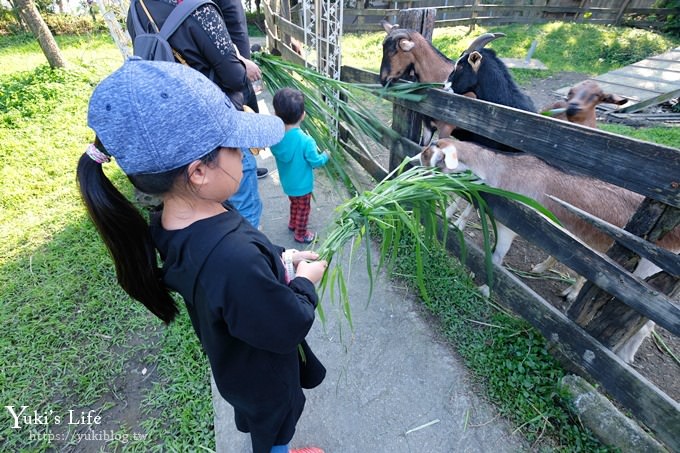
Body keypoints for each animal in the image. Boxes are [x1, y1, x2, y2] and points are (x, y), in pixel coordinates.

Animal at [412, 138, 680, 364]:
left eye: (429, 157)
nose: (411, 163)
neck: (502, 171)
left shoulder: (510, 224)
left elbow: (497, 257)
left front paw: (485, 287)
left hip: (647, 275)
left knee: (645, 322)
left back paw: (624, 356)